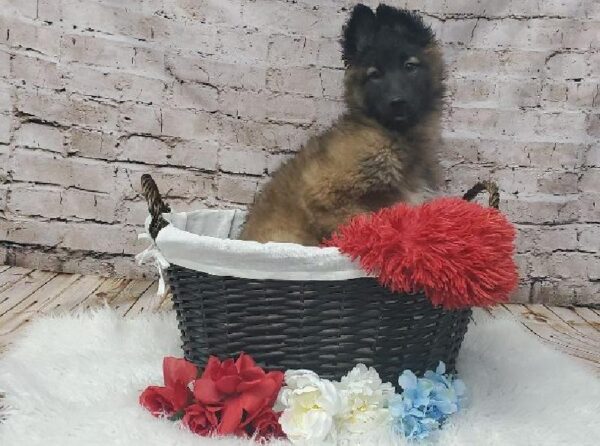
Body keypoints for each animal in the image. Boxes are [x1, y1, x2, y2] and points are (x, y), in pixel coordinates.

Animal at [239, 3, 446, 246]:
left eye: (409, 66)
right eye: (374, 75)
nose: (397, 103)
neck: (394, 136)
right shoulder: (324, 195)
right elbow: (368, 224)